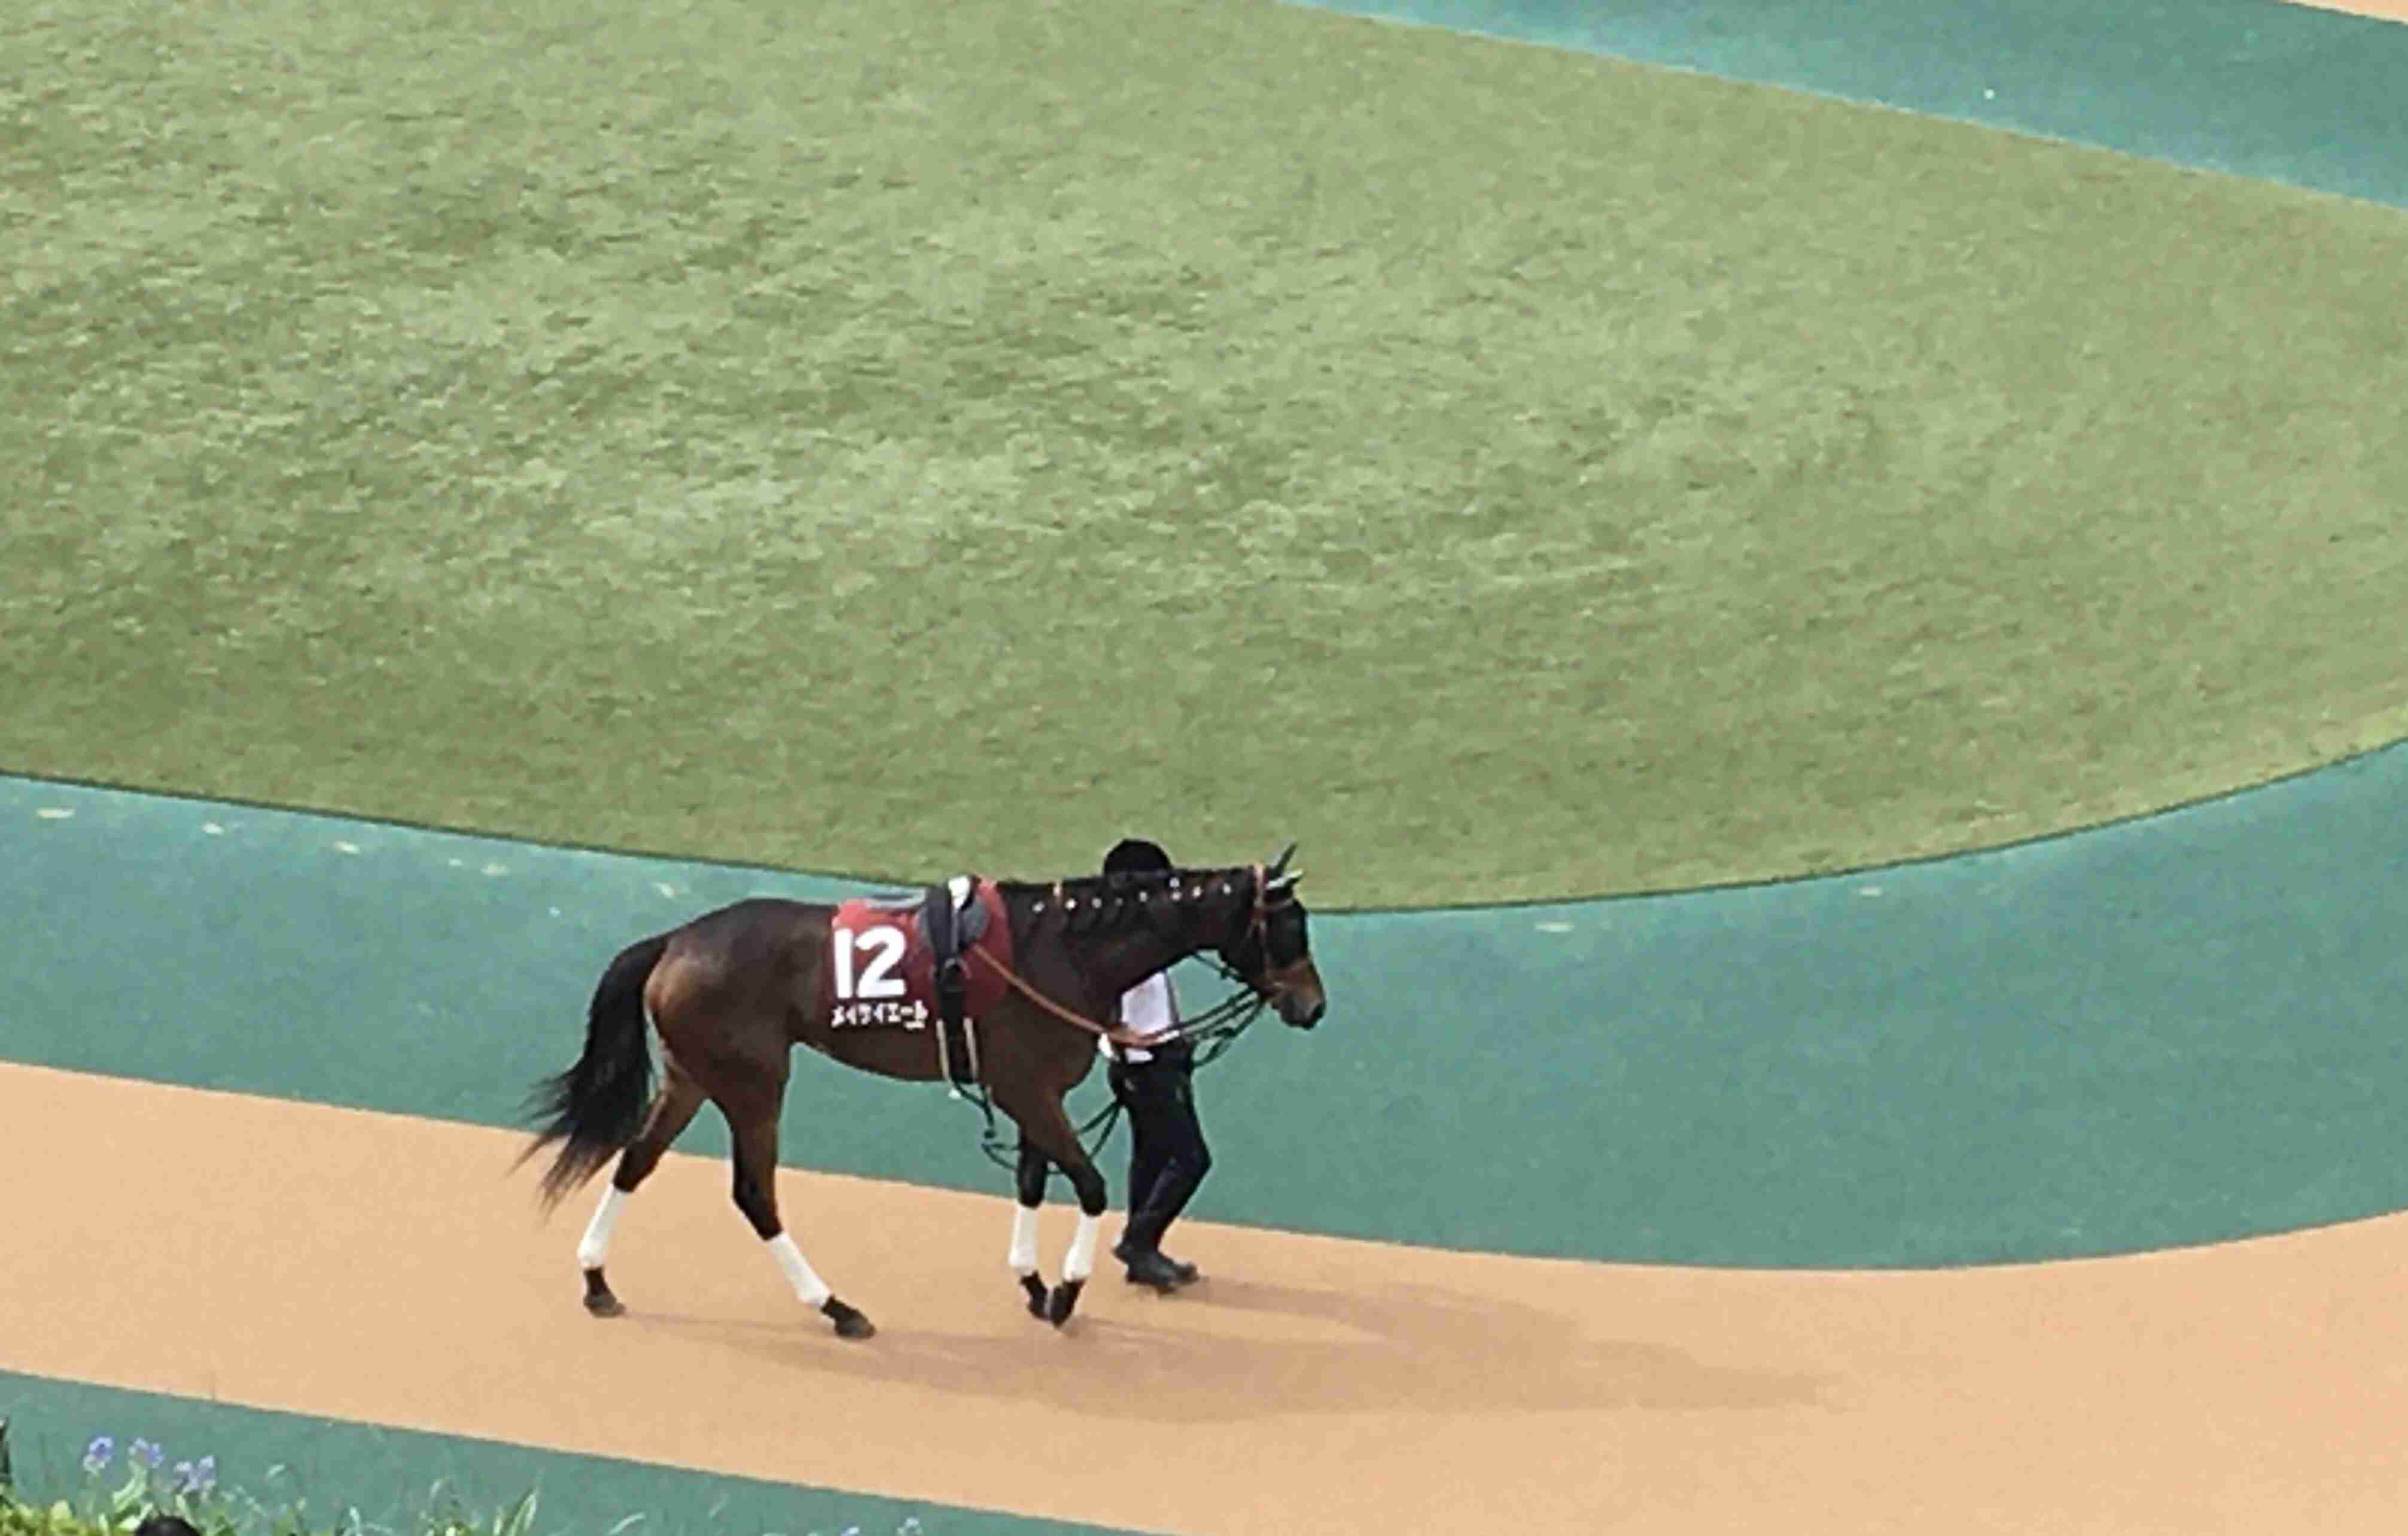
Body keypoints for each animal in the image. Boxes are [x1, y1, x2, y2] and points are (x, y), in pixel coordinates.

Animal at [516, 845, 1326, 1338]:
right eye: (1290, 927)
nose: (1312, 1005)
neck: (1060, 949)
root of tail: (676, 939)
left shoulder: (1029, 1092)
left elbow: (1032, 1181)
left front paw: (1033, 1283)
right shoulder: (1030, 1089)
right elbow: (1092, 1186)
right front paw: (1066, 1290)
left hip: (693, 1076)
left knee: (635, 1160)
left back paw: (596, 1279)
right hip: (753, 1083)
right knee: (754, 1192)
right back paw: (835, 1306)